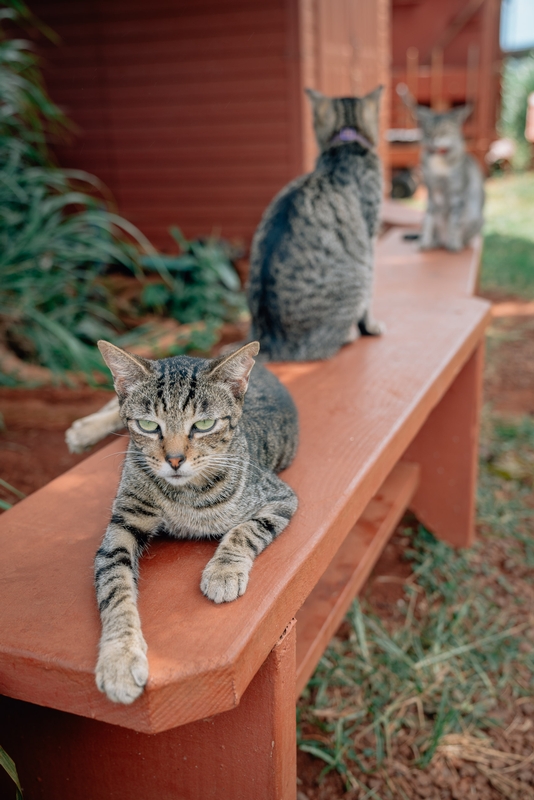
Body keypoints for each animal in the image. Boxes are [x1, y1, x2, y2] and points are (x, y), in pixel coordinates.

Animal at [94, 340, 300, 704]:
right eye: (148, 425)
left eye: (203, 425)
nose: (174, 460)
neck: (183, 497)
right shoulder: (122, 526)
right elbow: (114, 586)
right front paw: (119, 657)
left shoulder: (280, 497)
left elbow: (244, 530)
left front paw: (223, 572)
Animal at [247, 84, 386, 360]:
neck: (346, 143)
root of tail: (269, 342)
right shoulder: (370, 236)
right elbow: (370, 300)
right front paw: (370, 326)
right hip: (358, 276)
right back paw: (350, 334)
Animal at [410, 99, 486, 250]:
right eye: (428, 132)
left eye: (443, 131)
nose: (433, 140)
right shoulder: (431, 191)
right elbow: (429, 219)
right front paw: (425, 241)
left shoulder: (457, 192)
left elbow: (454, 221)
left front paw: (453, 242)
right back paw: (433, 242)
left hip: (476, 217)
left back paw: (456, 242)